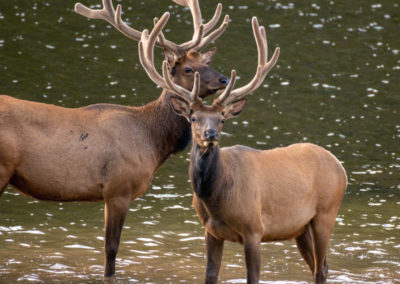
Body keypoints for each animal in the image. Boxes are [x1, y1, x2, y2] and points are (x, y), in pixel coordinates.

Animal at [0, 0, 231, 278]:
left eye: (205, 62)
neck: (153, 138)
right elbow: (111, 249)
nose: (224, 79)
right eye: (188, 68)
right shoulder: (118, 189)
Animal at [145, 16, 346, 284]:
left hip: (326, 213)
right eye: (194, 118)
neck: (217, 198)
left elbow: (253, 276)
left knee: (321, 267)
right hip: (301, 228)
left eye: (221, 119)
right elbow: (210, 275)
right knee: (317, 265)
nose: (211, 134)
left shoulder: (254, 229)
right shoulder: (210, 231)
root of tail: (340, 166)